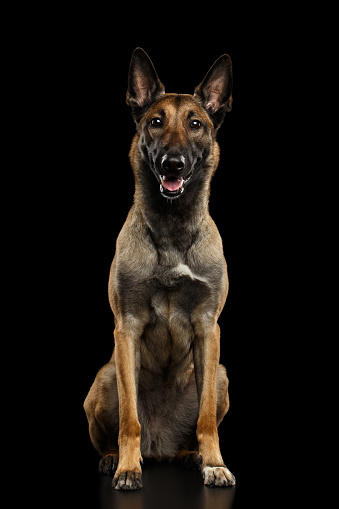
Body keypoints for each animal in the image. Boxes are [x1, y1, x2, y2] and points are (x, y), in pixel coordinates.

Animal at [83, 47, 235, 488]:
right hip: (105, 377)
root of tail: (159, 447)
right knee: (119, 426)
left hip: (221, 374)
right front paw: (127, 468)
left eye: (196, 124)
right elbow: (129, 419)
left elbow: (206, 419)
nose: (173, 163)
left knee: (194, 426)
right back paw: (115, 458)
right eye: (155, 122)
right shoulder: (127, 328)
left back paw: (190, 455)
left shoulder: (208, 328)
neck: (171, 227)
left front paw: (214, 463)